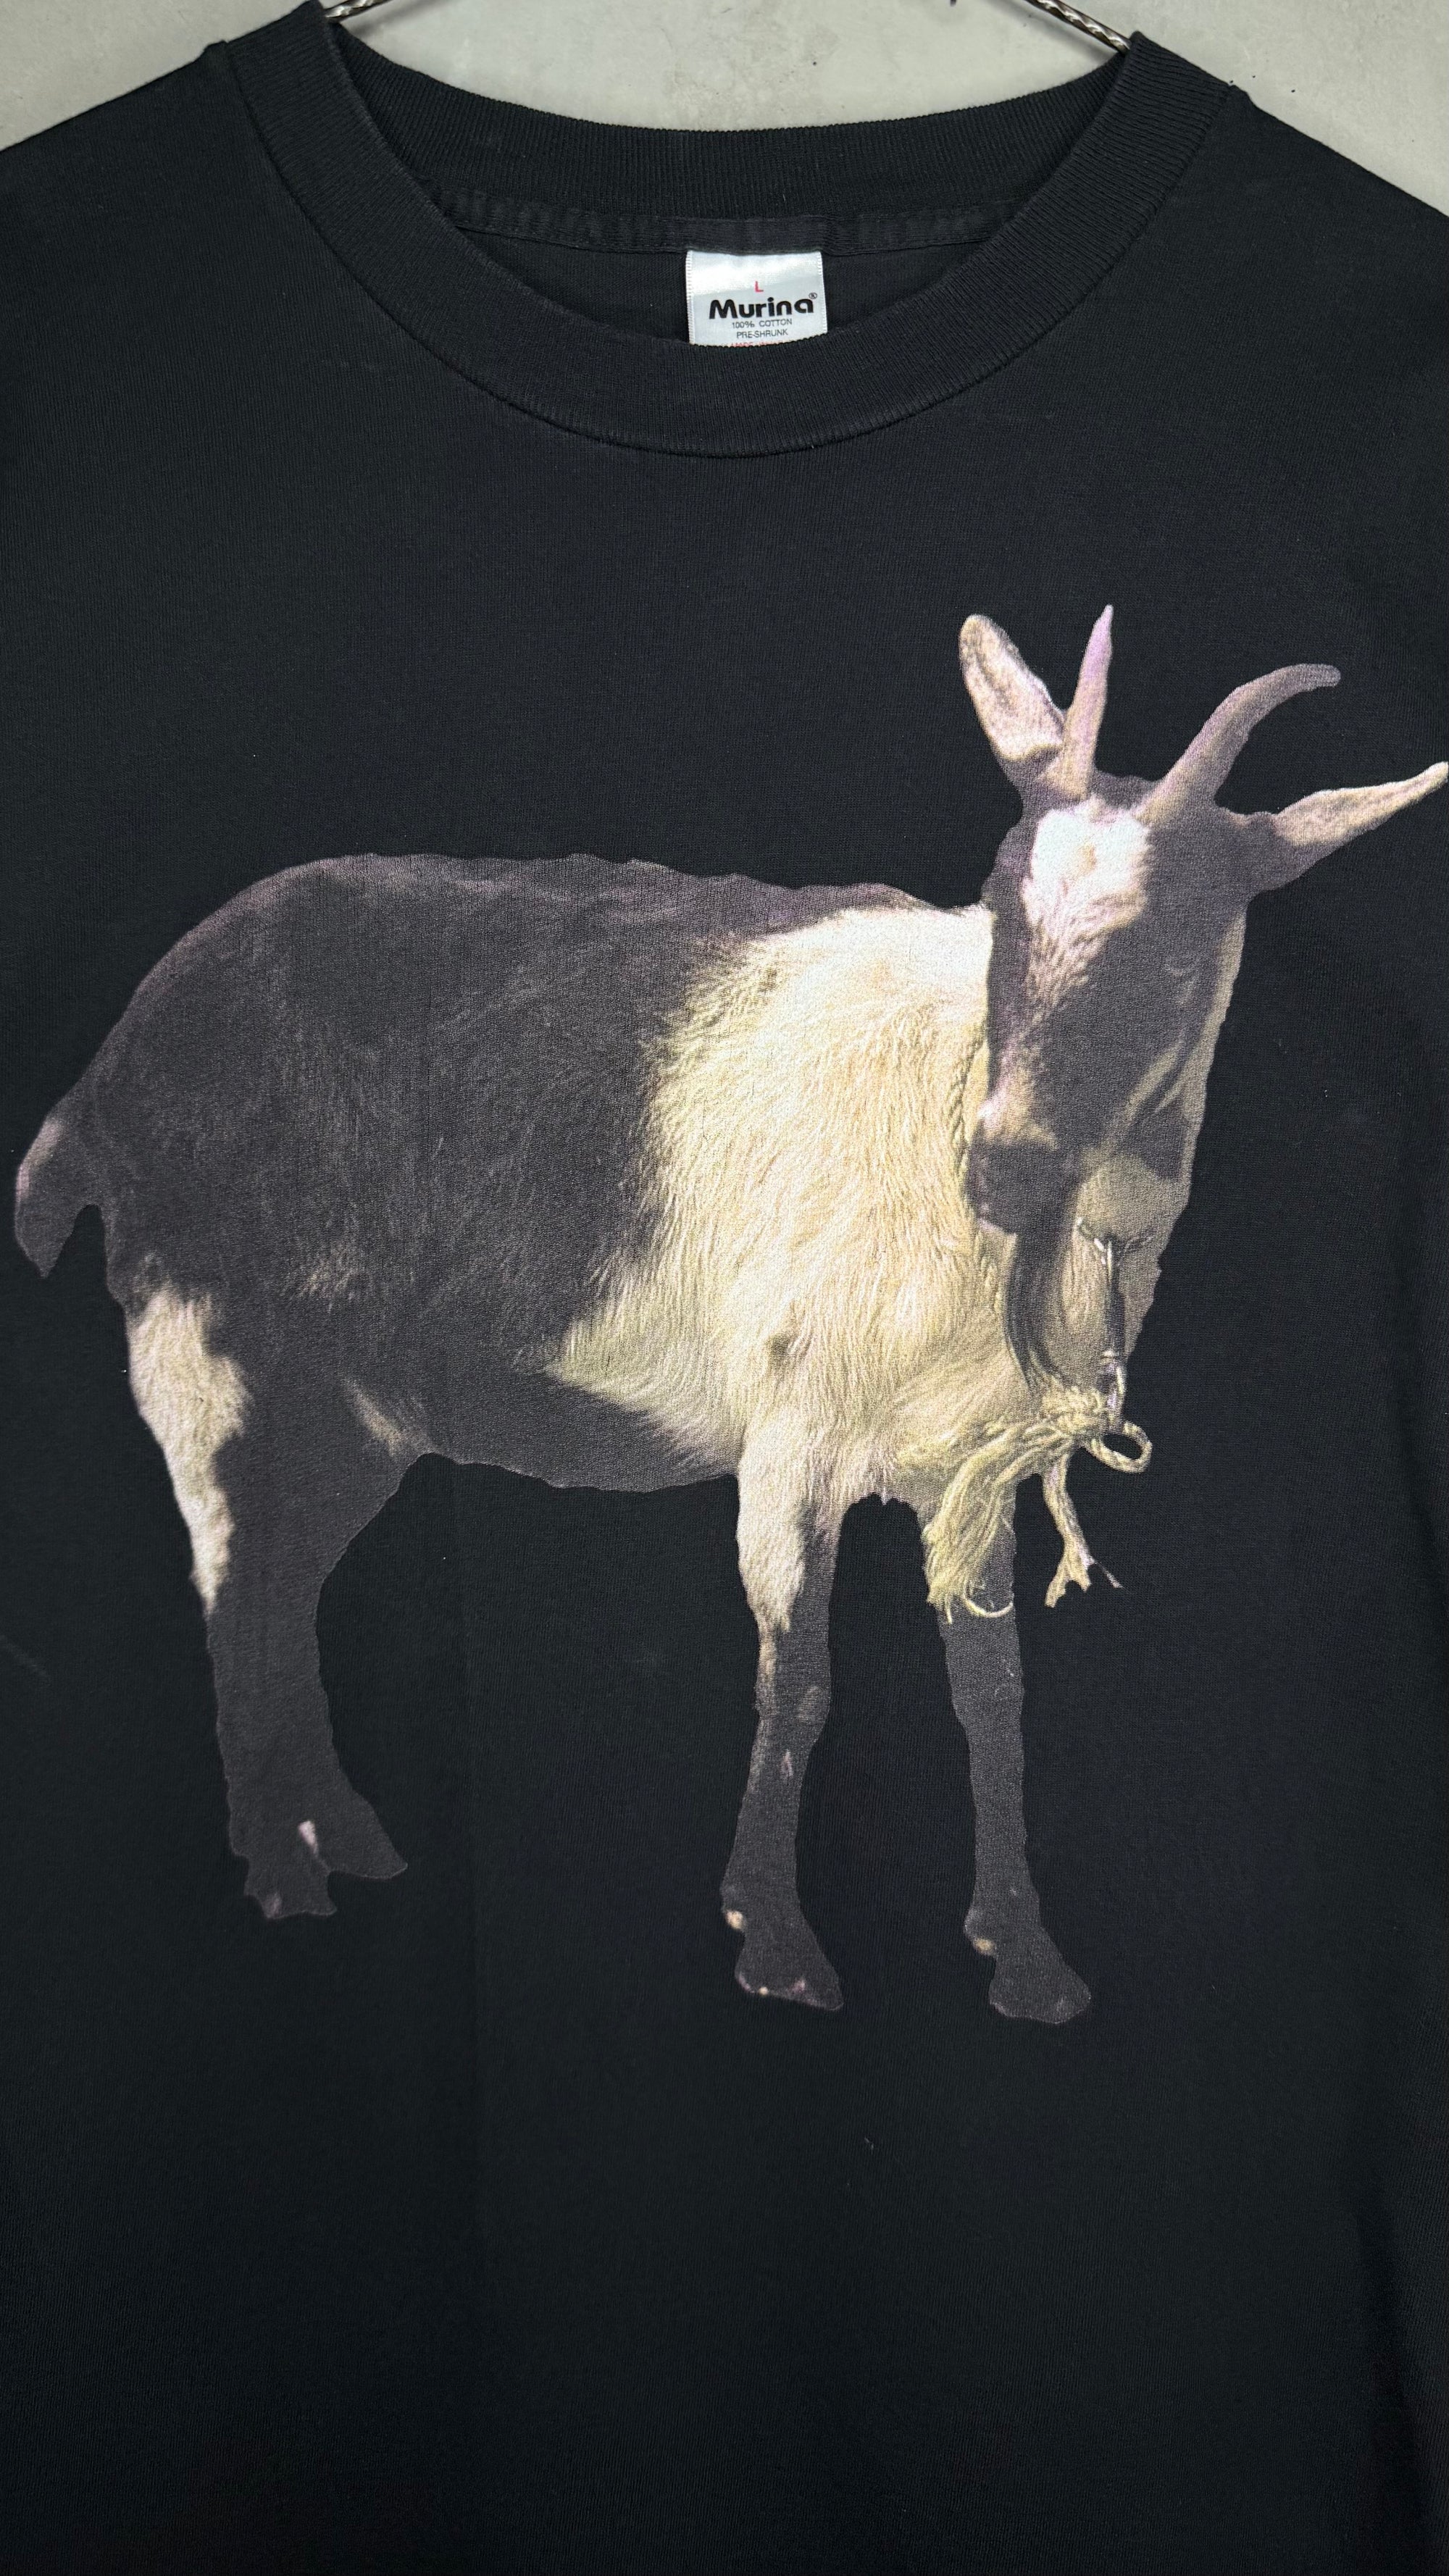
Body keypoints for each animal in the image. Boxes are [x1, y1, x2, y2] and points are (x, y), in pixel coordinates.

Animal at [14, 612, 1444, 2022]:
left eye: (1183, 943)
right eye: (1001, 903)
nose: (1005, 1166)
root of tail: (104, 1081)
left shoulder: (966, 1465)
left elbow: (994, 1699)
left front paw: (1028, 1961)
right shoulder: (793, 1430)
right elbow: (799, 1679)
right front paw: (777, 1944)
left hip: (350, 1412)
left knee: (283, 1581)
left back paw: (344, 1842)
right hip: (205, 1345)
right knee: (236, 1587)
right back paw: (283, 1875)